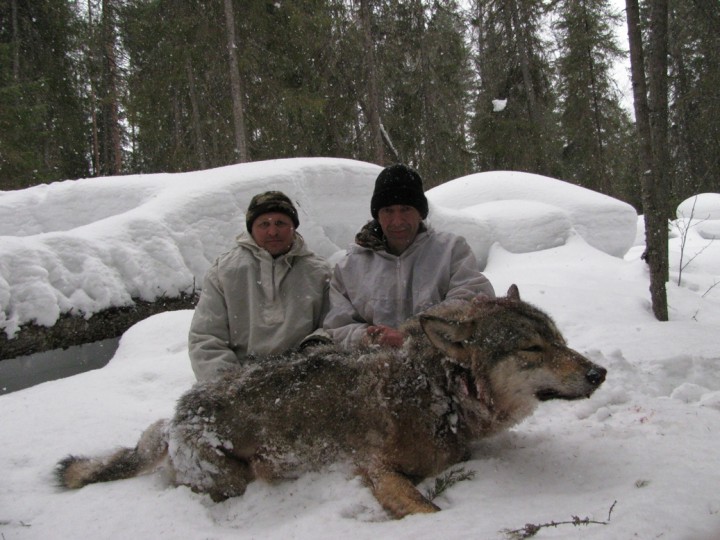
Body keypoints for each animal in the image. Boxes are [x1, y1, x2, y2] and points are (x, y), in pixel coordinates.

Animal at [57, 286, 608, 520]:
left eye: (558, 340)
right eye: (532, 349)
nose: (599, 372)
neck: (436, 392)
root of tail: (176, 418)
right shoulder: (375, 469)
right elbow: (428, 512)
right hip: (231, 478)